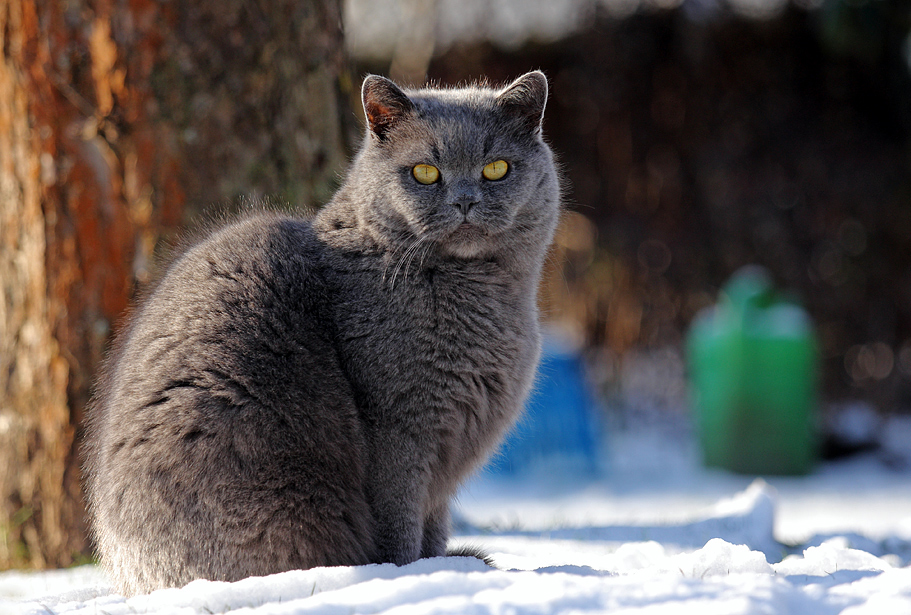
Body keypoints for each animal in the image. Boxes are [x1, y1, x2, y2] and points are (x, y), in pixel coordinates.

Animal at [83, 72, 564, 596]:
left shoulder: (443, 463)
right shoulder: (399, 432)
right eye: (424, 173)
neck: (491, 302)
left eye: (496, 169)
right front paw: (409, 577)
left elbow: (433, 527)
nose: (464, 201)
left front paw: (439, 569)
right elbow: (400, 527)